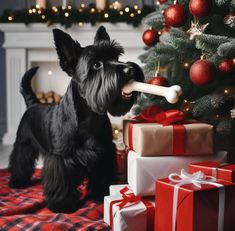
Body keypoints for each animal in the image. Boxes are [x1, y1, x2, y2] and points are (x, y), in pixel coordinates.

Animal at [8, 26, 144, 213]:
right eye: (96, 64)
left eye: (116, 56)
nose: (129, 69)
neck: (90, 115)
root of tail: (33, 103)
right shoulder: (60, 157)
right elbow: (61, 180)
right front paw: (62, 203)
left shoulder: (105, 151)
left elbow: (103, 174)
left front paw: (101, 193)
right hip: (24, 142)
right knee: (19, 160)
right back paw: (18, 181)